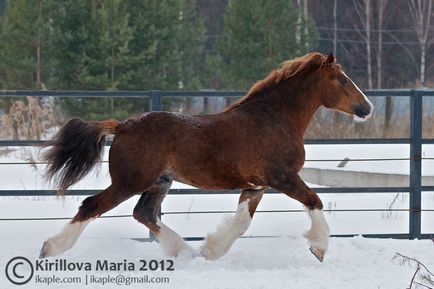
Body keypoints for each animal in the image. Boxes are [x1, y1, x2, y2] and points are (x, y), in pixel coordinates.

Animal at [39, 51, 372, 260]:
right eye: (342, 79)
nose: (367, 108)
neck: (273, 118)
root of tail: (122, 125)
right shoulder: (283, 177)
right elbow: (315, 200)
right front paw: (319, 248)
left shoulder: (256, 186)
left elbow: (241, 223)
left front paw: (211, 251)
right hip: (130, 181)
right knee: (92, 205)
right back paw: (50, 248)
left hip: (160, 182)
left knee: (144, 213)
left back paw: (184, 251)